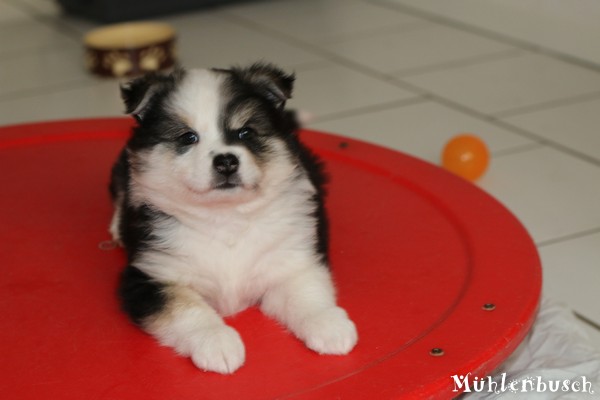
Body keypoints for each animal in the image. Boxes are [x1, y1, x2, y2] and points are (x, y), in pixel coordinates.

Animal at [109, 63, 357, 374]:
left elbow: (307, 292)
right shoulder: (151, 276)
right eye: (187, 137)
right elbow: (185, 308)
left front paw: (330, 326)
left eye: (245, 132)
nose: (226, 161)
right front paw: (217, 343)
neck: (225, 217)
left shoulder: (289, 261)